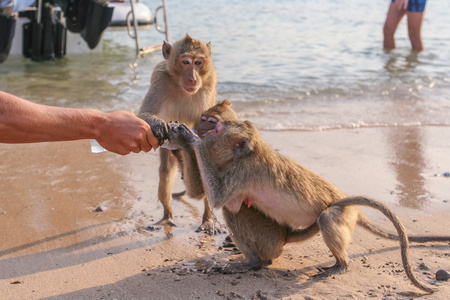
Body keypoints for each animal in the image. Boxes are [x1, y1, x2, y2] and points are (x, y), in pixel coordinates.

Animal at [139, 34, 218, 233]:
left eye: (198, 62)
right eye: (186, 62)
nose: (192, 78)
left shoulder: (209, 82)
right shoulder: (159, 78)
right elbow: (144, 114)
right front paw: (160, 125)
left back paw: (207, 219)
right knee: (166, 170)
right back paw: (167, 216)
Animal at [169, 119, 450, 292]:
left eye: (216, 129)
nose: (204, 132)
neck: (249, 151)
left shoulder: (241, 172)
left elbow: (218, 198)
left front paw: (191, 141)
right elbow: (201, 193)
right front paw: (179, 140)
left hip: (339, 215)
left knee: (324, 218)